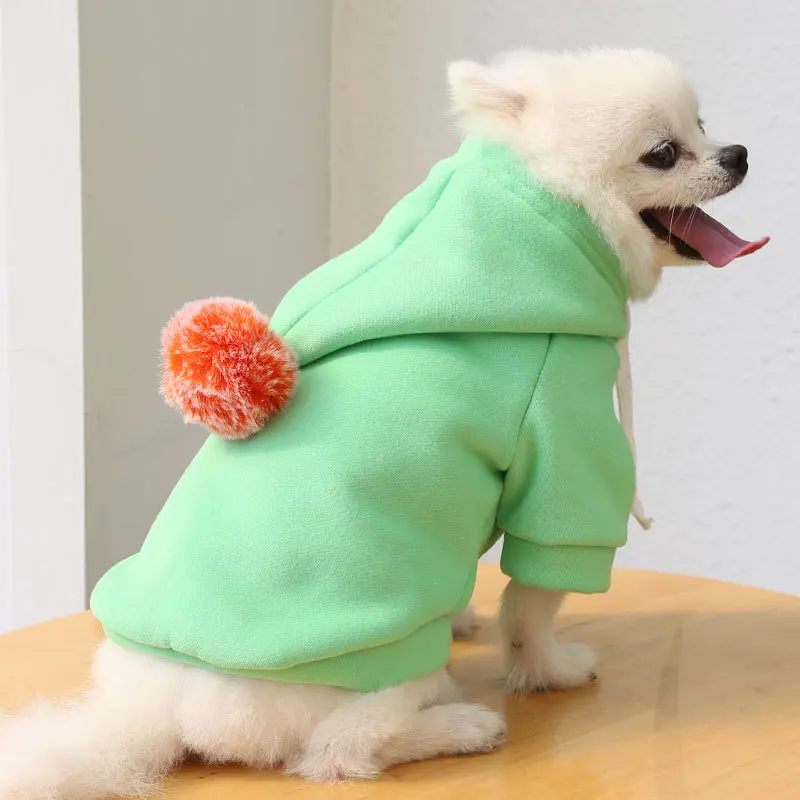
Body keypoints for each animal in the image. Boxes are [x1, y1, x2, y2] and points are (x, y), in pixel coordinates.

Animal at [0, 48, 765, 798]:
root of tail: (156, 713)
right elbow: (533, 604)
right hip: (379, 662)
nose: (738, 153)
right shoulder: (562, 450)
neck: (541, 212)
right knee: (340, 755)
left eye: (703, 125)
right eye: (663, 154)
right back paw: (459, 726)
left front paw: (466, 616)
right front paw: (550, 668)